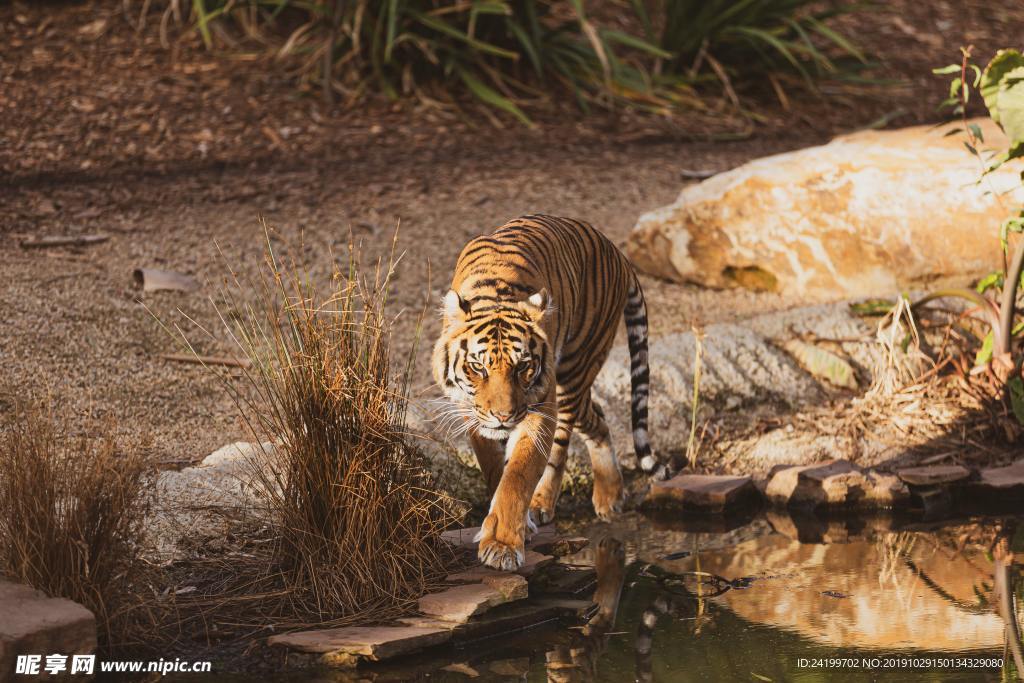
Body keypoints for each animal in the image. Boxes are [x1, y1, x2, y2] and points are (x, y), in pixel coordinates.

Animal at [432, 214, 671, 570]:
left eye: (522, 367)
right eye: (478, 367)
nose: (503, 416)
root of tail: (617, 251)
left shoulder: (538, 408)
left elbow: (517, 475)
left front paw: (501, 546)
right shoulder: (472, 415)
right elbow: (495, 470)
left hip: (573, 370)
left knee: (572, 435)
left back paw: (570, 499)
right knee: (598, 417)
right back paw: (603, 496)